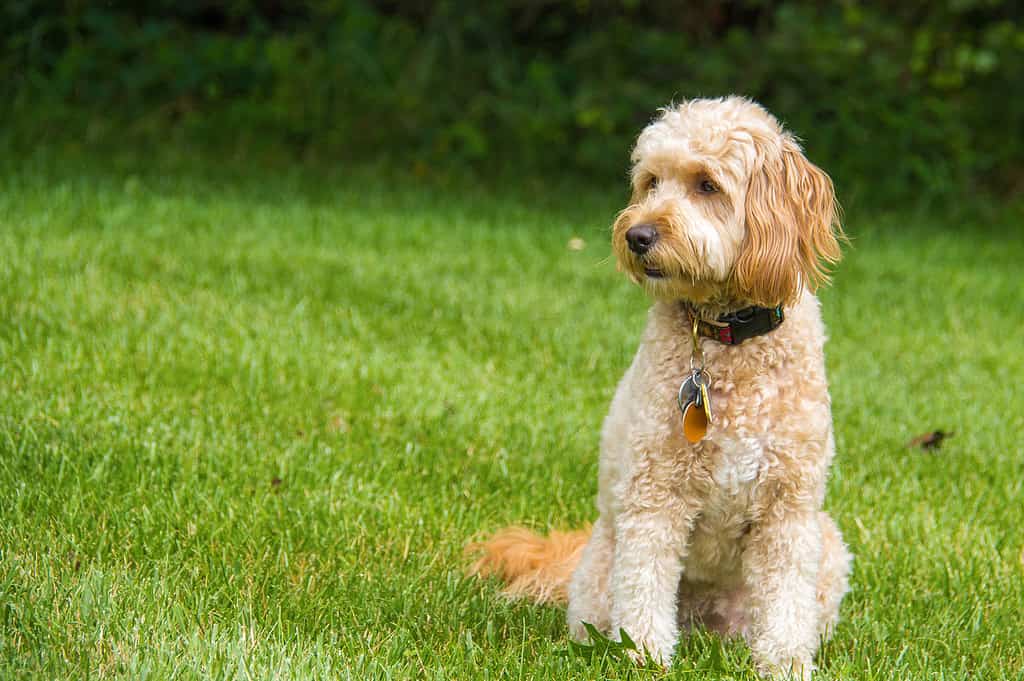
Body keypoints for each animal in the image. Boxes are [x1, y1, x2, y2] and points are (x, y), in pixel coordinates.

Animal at [468, 96, 847, 679]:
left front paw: (785, 663)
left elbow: (786, 599)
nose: (636, 235)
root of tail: (705, 624)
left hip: (828, 544)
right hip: (600, 574)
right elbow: (645, 580)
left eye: (707, 184)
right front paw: (645, 656)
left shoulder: (790, 507)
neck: (723, 337)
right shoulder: (655, 494)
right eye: (650, 182)